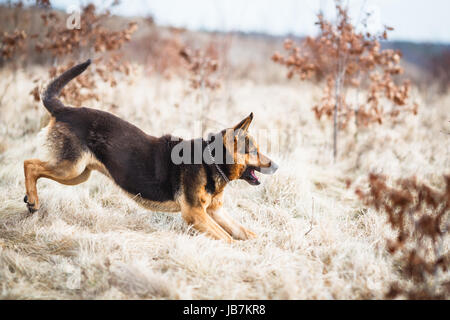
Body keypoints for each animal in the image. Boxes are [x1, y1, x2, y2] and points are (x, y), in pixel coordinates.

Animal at [24, 60, 280, 242]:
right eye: (254, 151)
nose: (277, 166)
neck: (210, 162)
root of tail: (64, 109)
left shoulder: (216, 212)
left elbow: (243, 232)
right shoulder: (195, 214)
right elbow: (227, 238)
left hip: (78, 174)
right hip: (71, 168)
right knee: (29, 164)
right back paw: (33, 200)